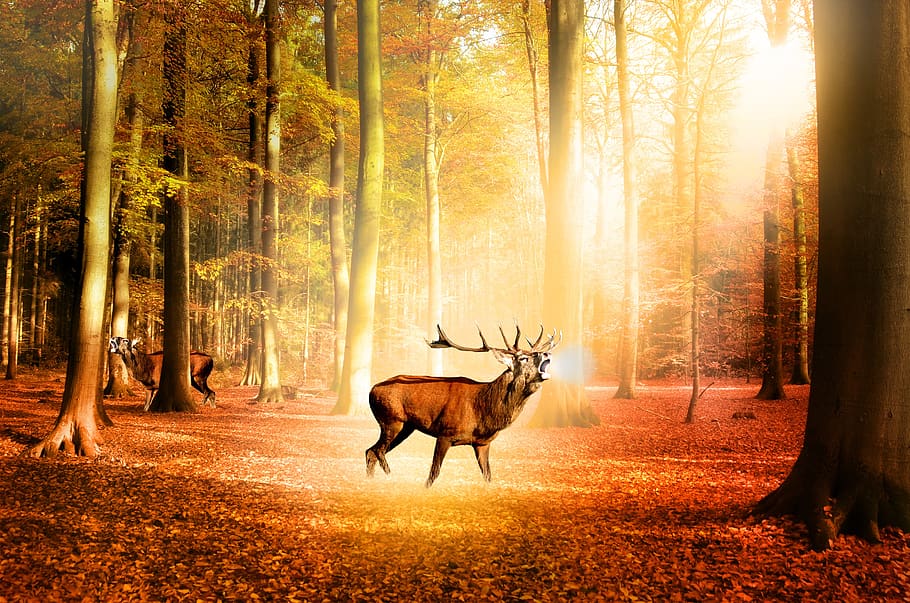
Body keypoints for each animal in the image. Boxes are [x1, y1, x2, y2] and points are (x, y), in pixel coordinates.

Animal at [366, 324, 559, 487]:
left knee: (371, 451)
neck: (482, 410)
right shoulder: (445, 433)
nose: (546, 354)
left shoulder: (483, 443)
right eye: (523, 358)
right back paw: (390, 477)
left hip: (406, 426)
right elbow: (433, 473)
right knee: (377, 451)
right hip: (391, 419)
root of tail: (371, 390)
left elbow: (488, 476)